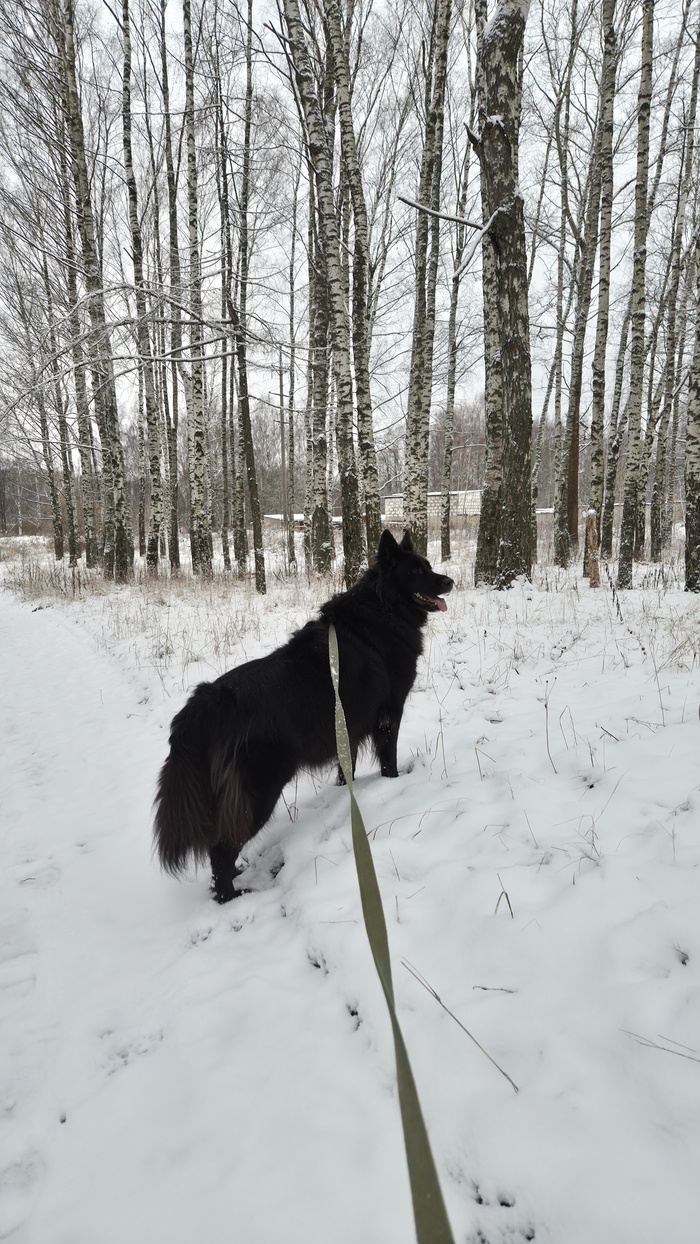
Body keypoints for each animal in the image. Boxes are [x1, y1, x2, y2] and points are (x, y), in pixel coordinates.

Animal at [154, 529, 453, 902]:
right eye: (415, 571)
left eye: (427, 565)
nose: (450, 581)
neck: (383, 610)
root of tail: (206, 703)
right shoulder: (389, 712)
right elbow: (389, 759)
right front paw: (393, 784)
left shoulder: (346, 726)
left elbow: (347, 766)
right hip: (260, 790)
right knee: (220, 850)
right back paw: (233, 895)